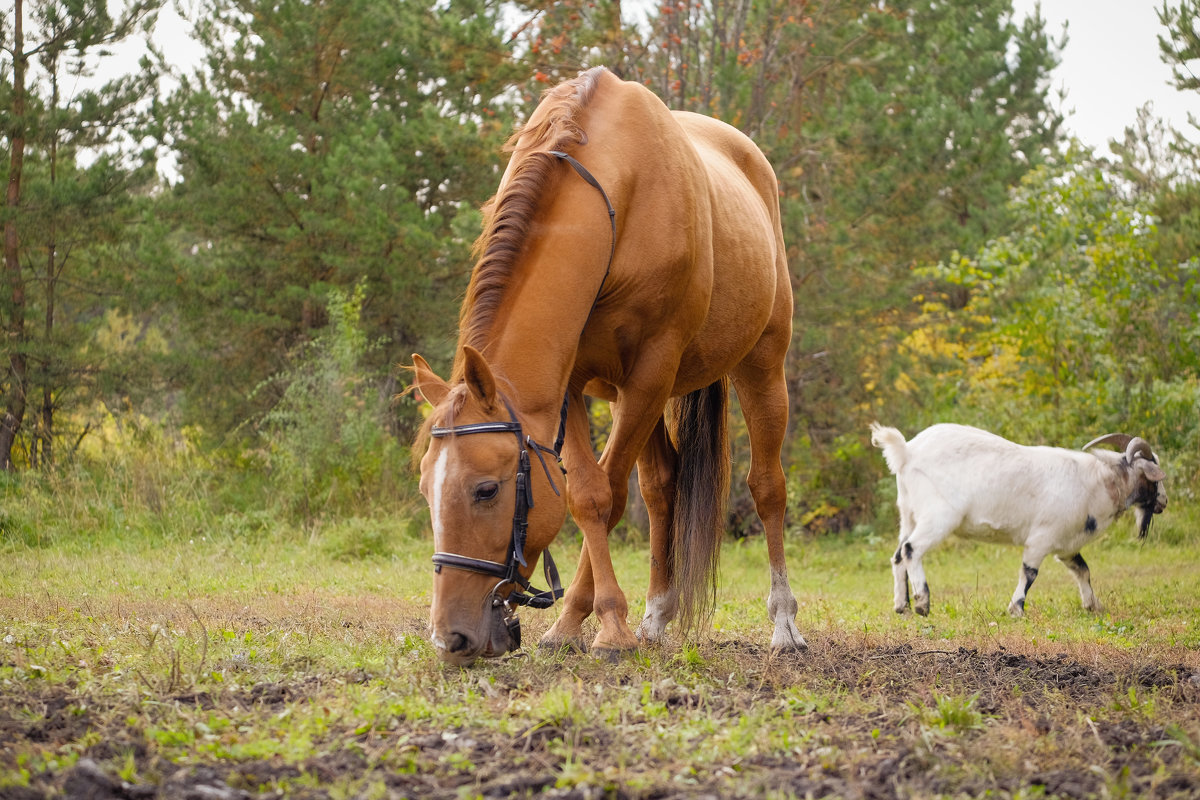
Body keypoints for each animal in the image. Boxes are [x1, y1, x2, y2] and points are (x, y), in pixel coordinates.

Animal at [410, 65, 806, 666]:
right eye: (426, 491)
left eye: (486, 490)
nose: (450, 638)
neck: (616, 195)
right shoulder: (570, 386)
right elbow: (587, 496)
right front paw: (576, 622)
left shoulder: (650, 373)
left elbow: (607, 495)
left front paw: (608, 627)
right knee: (662, 488)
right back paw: (656, 614)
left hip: (759, 365)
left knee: (767, 488)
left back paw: (783, 623)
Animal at [873, 424, 1161, 618]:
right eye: (1155, 478)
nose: (1163, 503)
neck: (1100, 482)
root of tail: (906, 452)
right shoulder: (1041, 538)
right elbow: (1030, 573)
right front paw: (1016, 609)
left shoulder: (1067, 544)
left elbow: (1083, 570)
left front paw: (1093, 605)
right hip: (939, 516)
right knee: (911, 549)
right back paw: (923, 603)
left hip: (908, 514)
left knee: (898, 556)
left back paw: (902, 606)